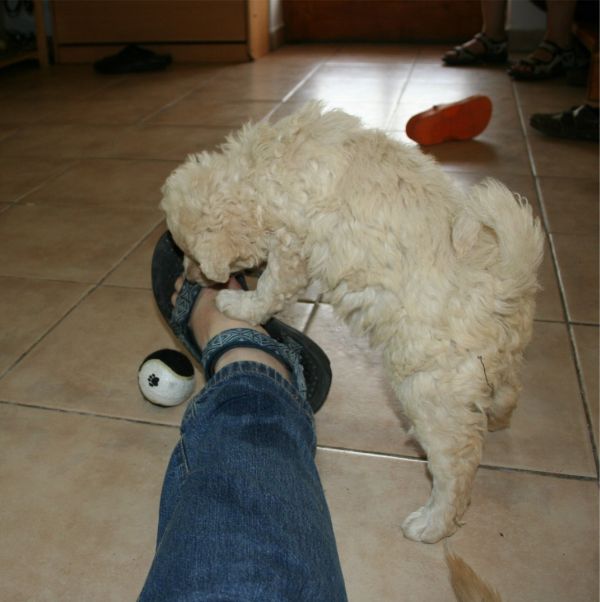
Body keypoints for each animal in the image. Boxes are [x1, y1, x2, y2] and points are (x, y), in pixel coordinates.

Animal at [160, 102, 544, 548]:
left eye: (191, 254)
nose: (187, 277)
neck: (260, 166)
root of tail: (506, 281)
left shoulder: (293, 246)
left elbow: (273, 287)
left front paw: (238, 304)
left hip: (428, 385)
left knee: (457, 461)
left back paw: (431, 524)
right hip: (493, 360)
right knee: (507, 392)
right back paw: (496, 418)